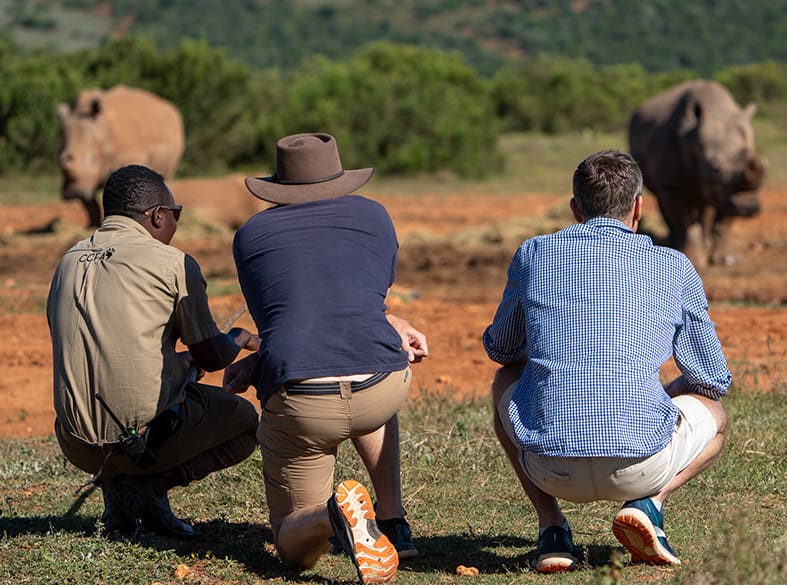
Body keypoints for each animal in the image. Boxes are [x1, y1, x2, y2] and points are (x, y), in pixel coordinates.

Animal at [628, 79, 766, 267]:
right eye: (716, 169)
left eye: (764, 166)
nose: (749, 206)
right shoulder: (673, 186)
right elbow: (685, 222)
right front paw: (693, 259)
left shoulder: (729, 190)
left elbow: (725, 220)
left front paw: (729, 260)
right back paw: (675, 244)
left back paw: (706, 242)